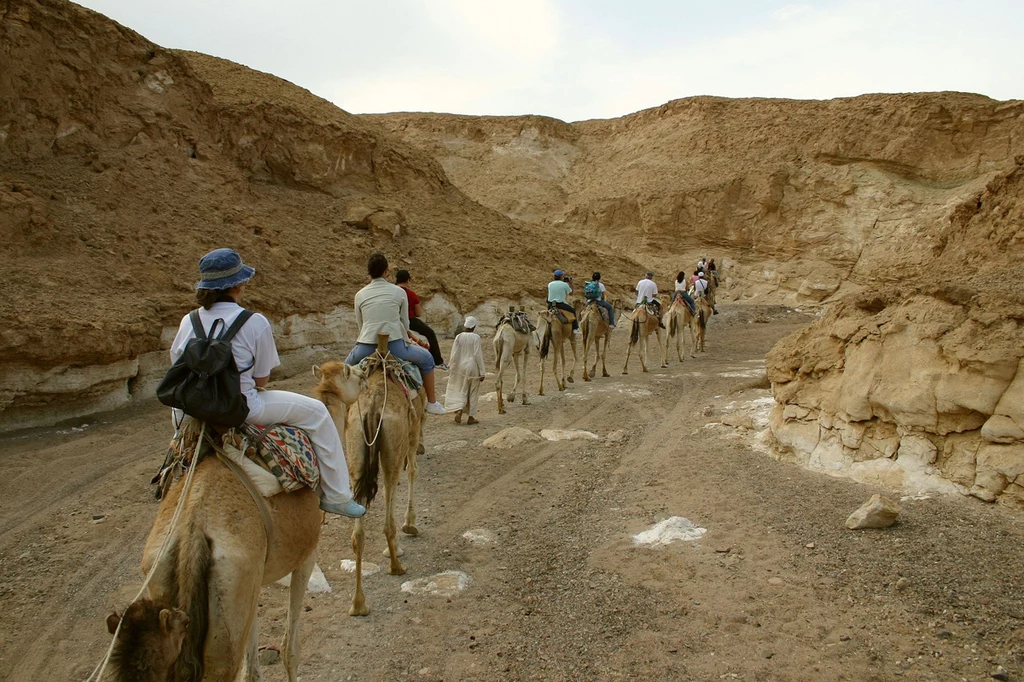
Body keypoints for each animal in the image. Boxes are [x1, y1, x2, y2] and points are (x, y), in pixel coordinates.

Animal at [313, 331, 425, 614]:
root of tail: (374, 406)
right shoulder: (412, 435)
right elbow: (412, 472)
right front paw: (410, 525)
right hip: (392, 449)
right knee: (388, 508)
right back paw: (396, 565)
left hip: (355, 450)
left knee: (358, 532)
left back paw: (358, 603)